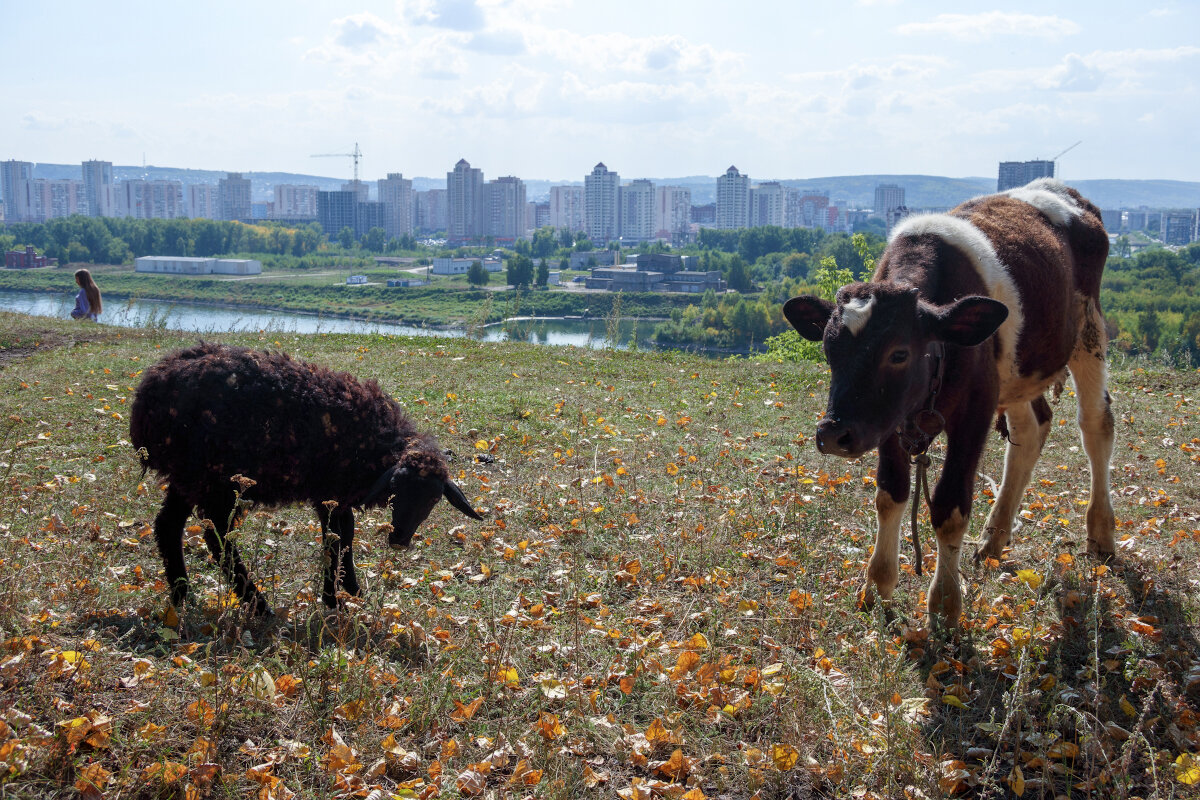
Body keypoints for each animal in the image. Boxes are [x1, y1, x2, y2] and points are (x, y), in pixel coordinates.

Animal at [131, 340, 482, 618]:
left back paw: (182, 594)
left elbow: (346, 537)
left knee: (168, 526)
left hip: (188, 477)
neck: (375, 442)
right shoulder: (329, 493)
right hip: (215, 481)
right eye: (396, 489)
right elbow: (334, 542)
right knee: (218, 541)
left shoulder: (340, 495)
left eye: (433, 499)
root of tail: (147, 394)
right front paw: (333, 600)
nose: (398, 540)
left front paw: (350, 590)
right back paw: (258, 604)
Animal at [787, 181, 1113, 623]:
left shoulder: (976, 409)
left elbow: (949, 506)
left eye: (899, 353)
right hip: (1015, 373)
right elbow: (891, 493)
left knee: (1096, 424)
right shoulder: (890, 420)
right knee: (1031, 429)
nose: (833, 434)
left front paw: (944, 603)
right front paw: (877, 584)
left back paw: (1101, 532)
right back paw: (993, 540)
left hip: (1088, 330)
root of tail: (1062, 190)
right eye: (829, 349)